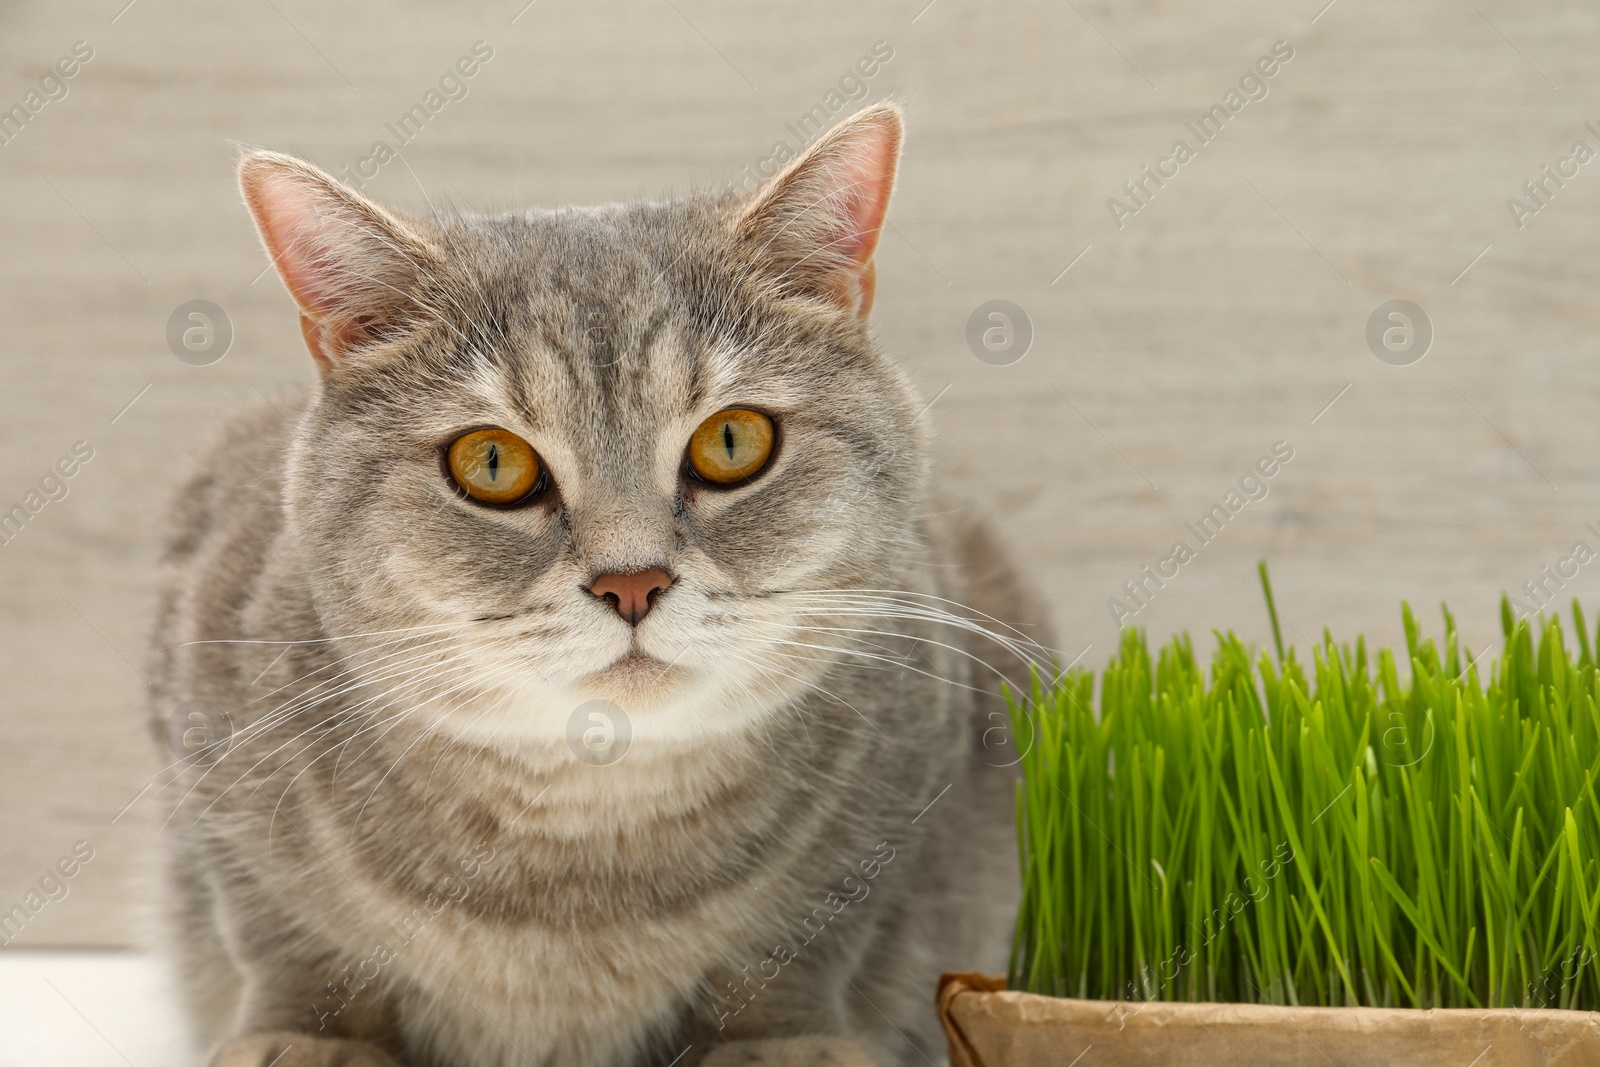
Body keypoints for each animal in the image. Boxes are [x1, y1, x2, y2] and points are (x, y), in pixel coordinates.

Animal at [147, 103, 1049, 1067]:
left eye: (733, 441)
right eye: (492, 462)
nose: (633, 582)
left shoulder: (894, 806)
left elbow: (797, 952)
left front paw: (783, 1045)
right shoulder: (212, 761)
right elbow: (287, 942)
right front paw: (299, 1040)